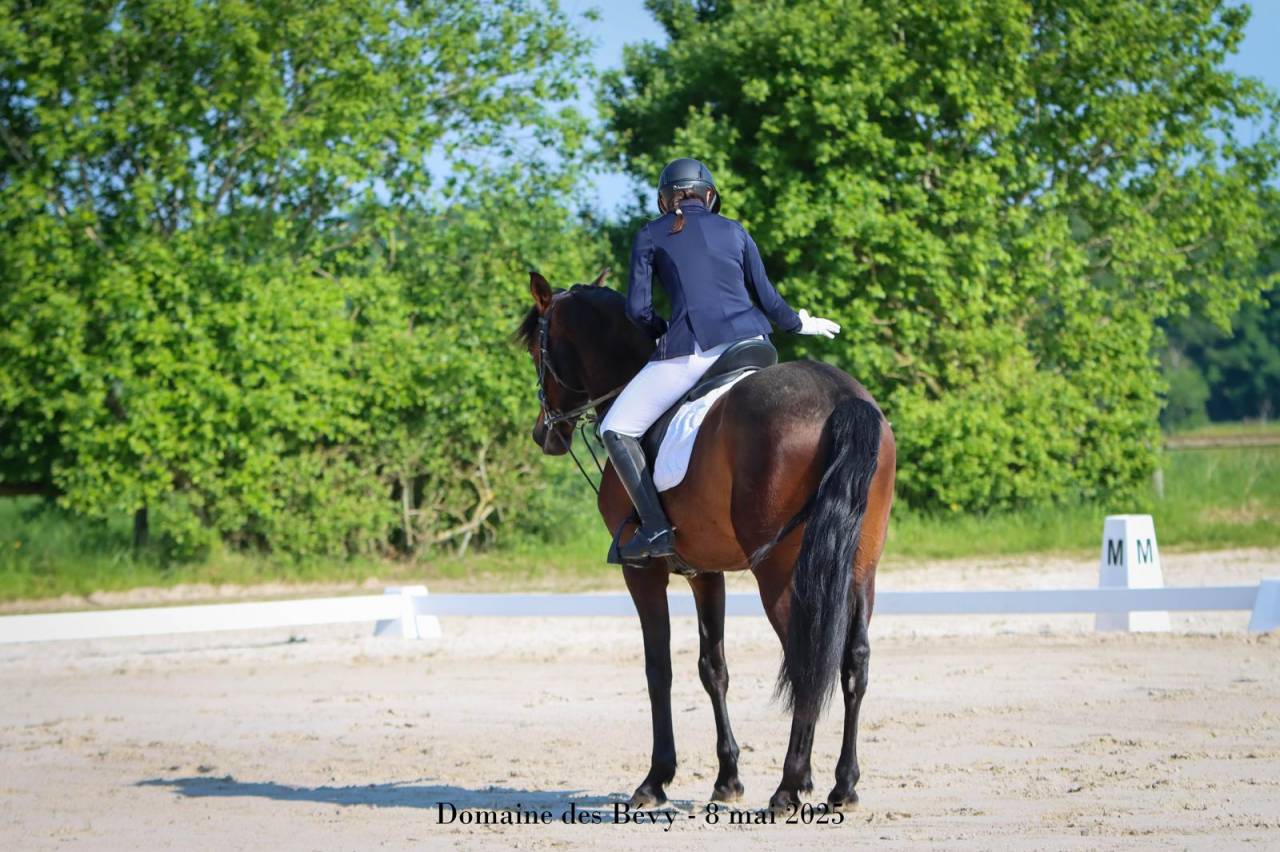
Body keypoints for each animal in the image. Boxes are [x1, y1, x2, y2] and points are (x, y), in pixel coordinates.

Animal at [515, 270, 896, 812]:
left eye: (537, 349)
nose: (542, 434)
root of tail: (840, 398)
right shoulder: (705, 573)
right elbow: (712, 668)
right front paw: (727, 779)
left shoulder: (643, 570)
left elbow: (659, 669)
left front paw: (655, 780)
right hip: (861, 568)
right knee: (854, 661)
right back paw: (843, 786)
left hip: (781, 574)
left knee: (806, 659)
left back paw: (788, 787)